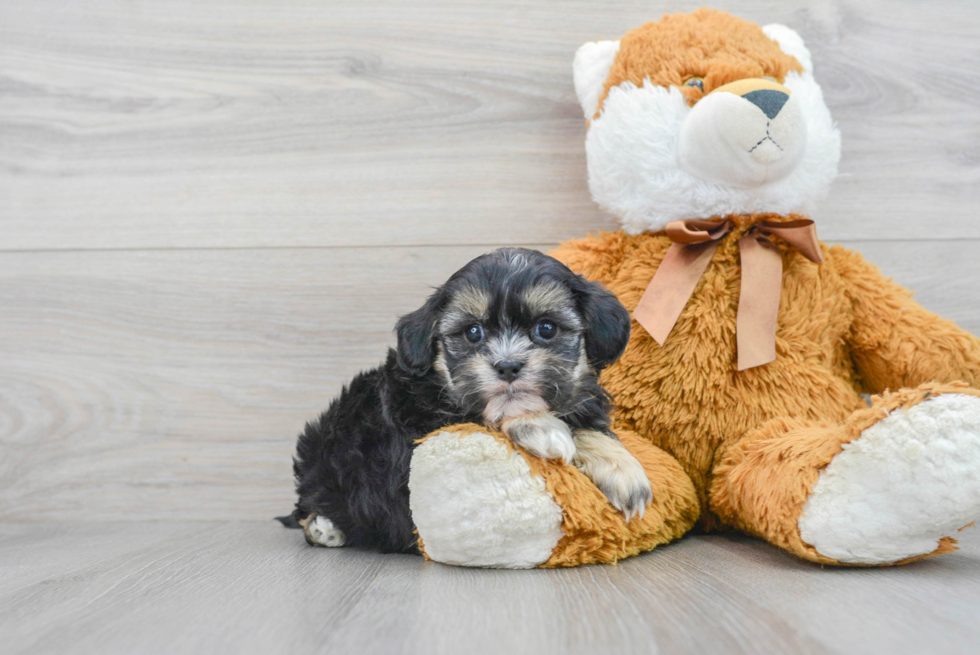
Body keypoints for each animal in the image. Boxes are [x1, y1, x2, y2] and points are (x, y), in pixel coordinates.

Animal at [280, 249, 656, 552]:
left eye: (546, 329)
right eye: (473, 332)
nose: (507, 366)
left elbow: (587, 424)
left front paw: (623, 470)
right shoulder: (419, 429)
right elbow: (485, 415)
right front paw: (538, 426)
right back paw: (324, 527)